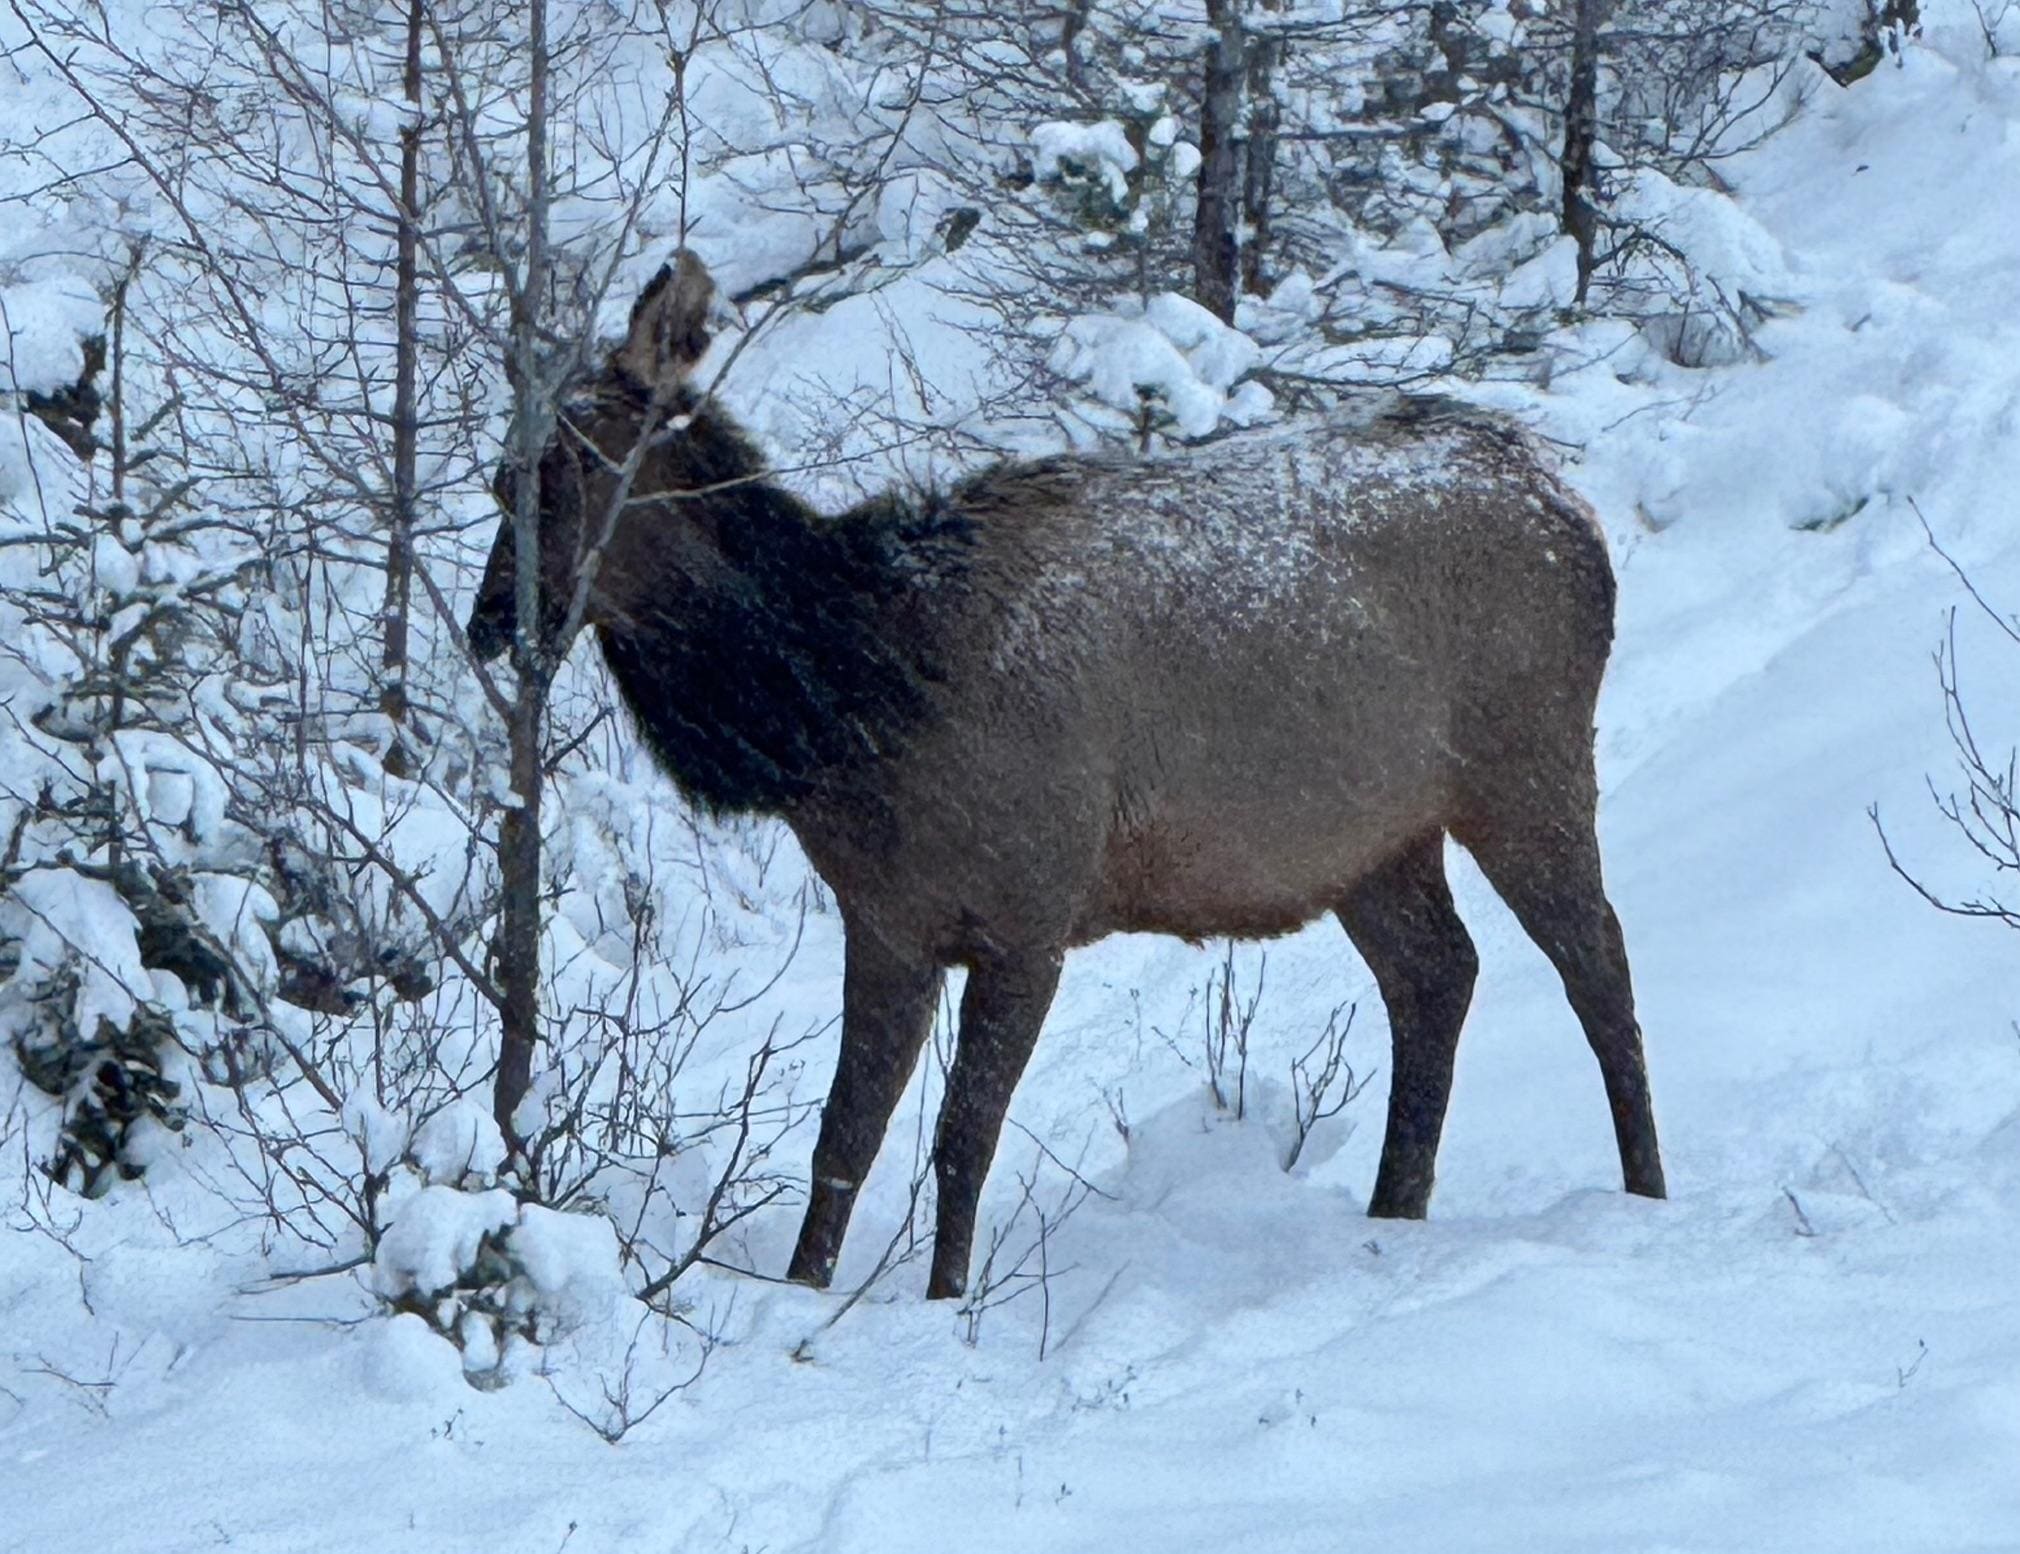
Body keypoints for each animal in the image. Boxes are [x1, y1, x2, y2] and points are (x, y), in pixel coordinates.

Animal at [466, 251, 1666, 1301]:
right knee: (1438, 973)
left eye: (578, 461)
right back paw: (1394, 1208)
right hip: (1371, 837)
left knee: (1598, 961)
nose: (491, 626)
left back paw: (1644, 1194)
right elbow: (843, 1135)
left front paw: (944, 1304)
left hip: (1527, 762)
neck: (851, 711)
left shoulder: (1029, 909)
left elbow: (962, 1138)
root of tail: (1570, 506)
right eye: (501, 471)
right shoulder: (888, 921)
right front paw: (803, 1291)